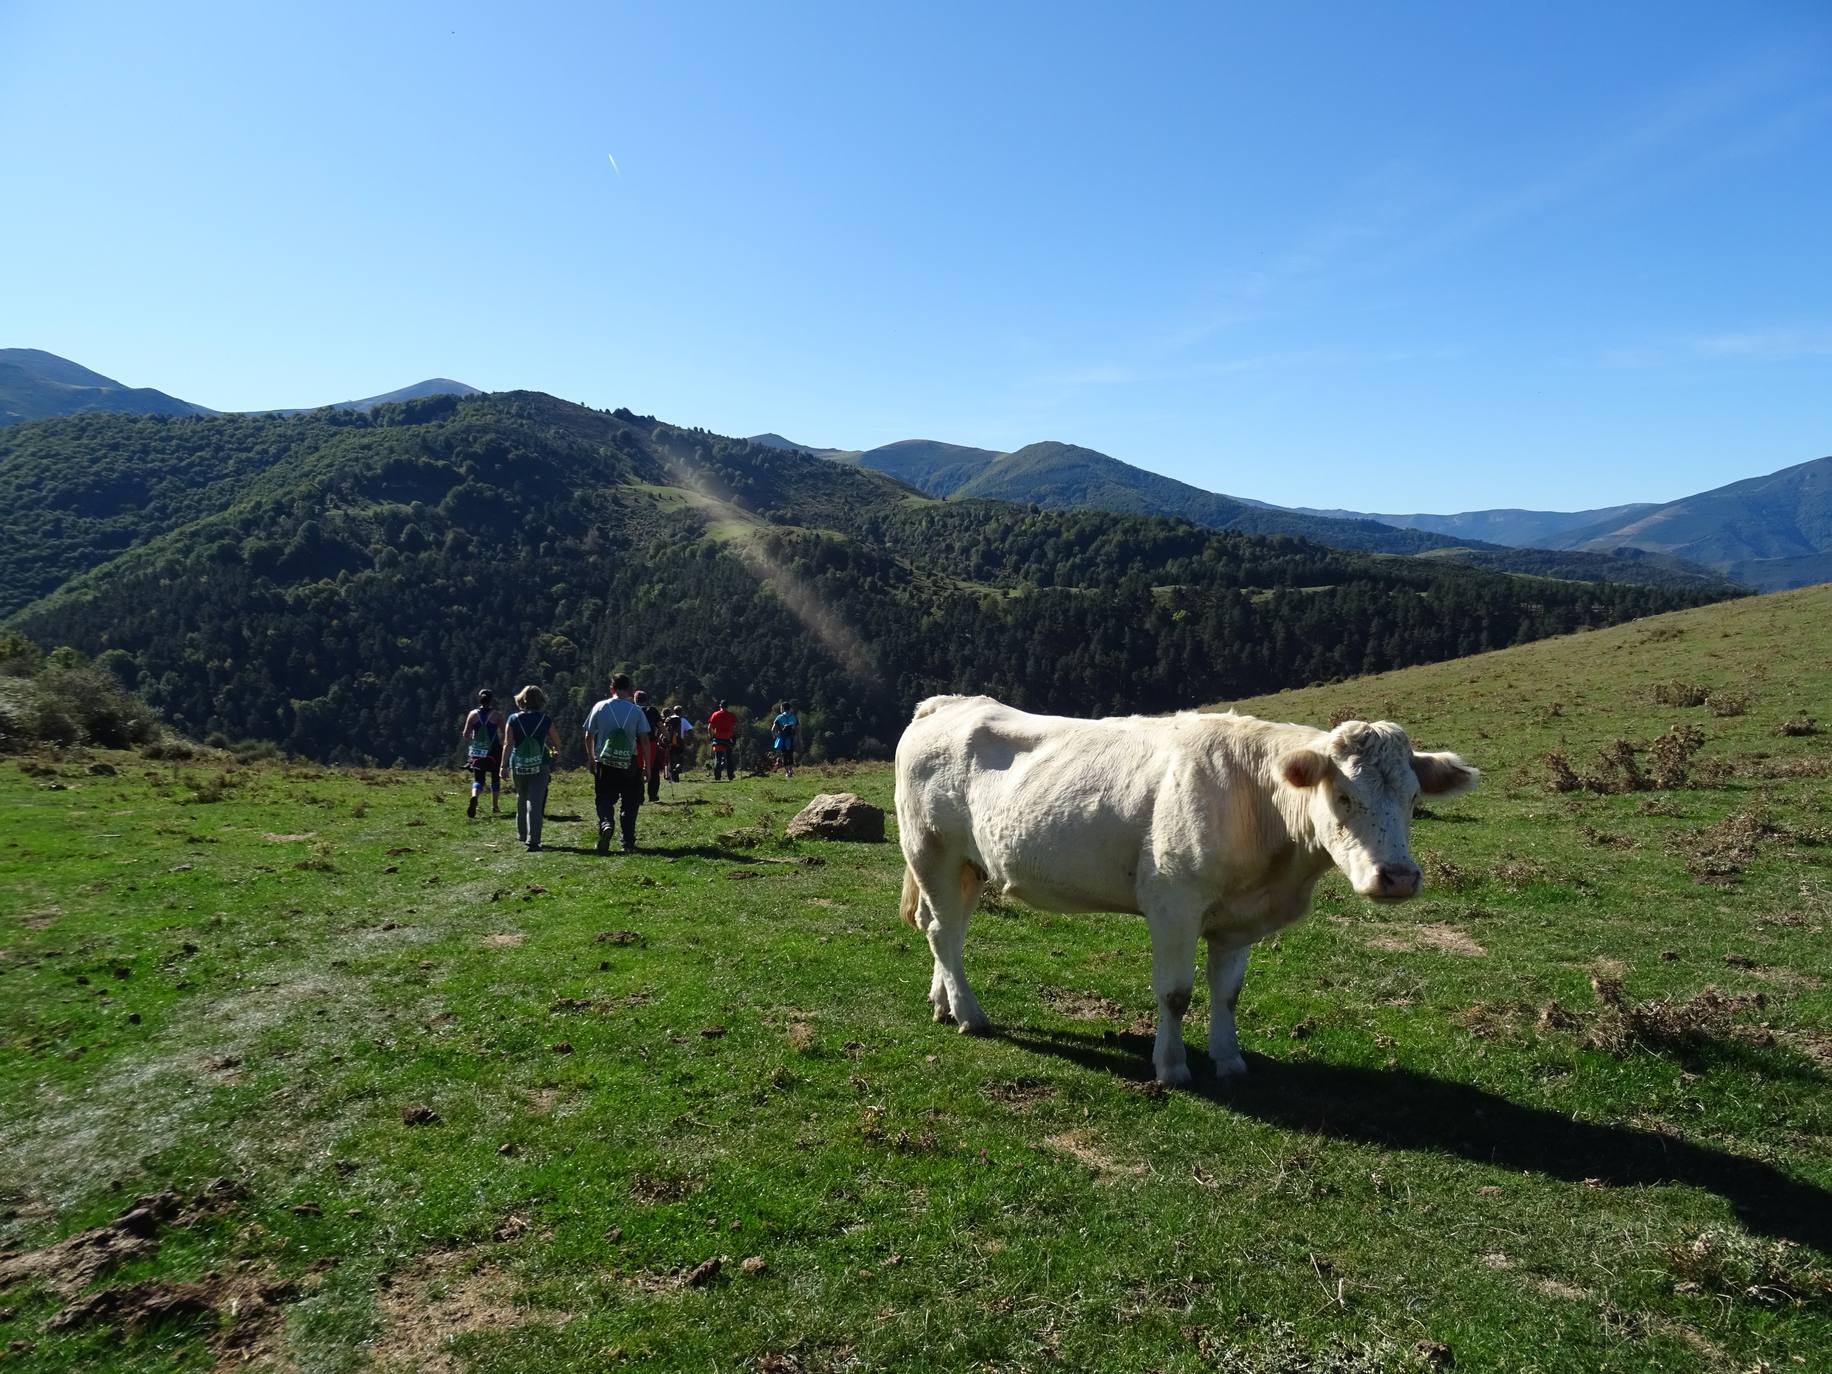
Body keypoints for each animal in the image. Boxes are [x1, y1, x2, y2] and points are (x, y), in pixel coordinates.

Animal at [894, 699, 1480, 1084]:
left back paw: (943, 1003)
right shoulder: (1173, 904)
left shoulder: (1238, 918)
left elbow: (1228, 993)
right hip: (931, 849)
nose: (1398, 877)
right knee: (943, 931)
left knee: (946, 930)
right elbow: (1176, 993)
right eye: (1343, 796)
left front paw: (1230, 1059)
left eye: (1412, 798)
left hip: (968, 865)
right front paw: (1172, 1066)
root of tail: (947, 703)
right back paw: (970, 1016)